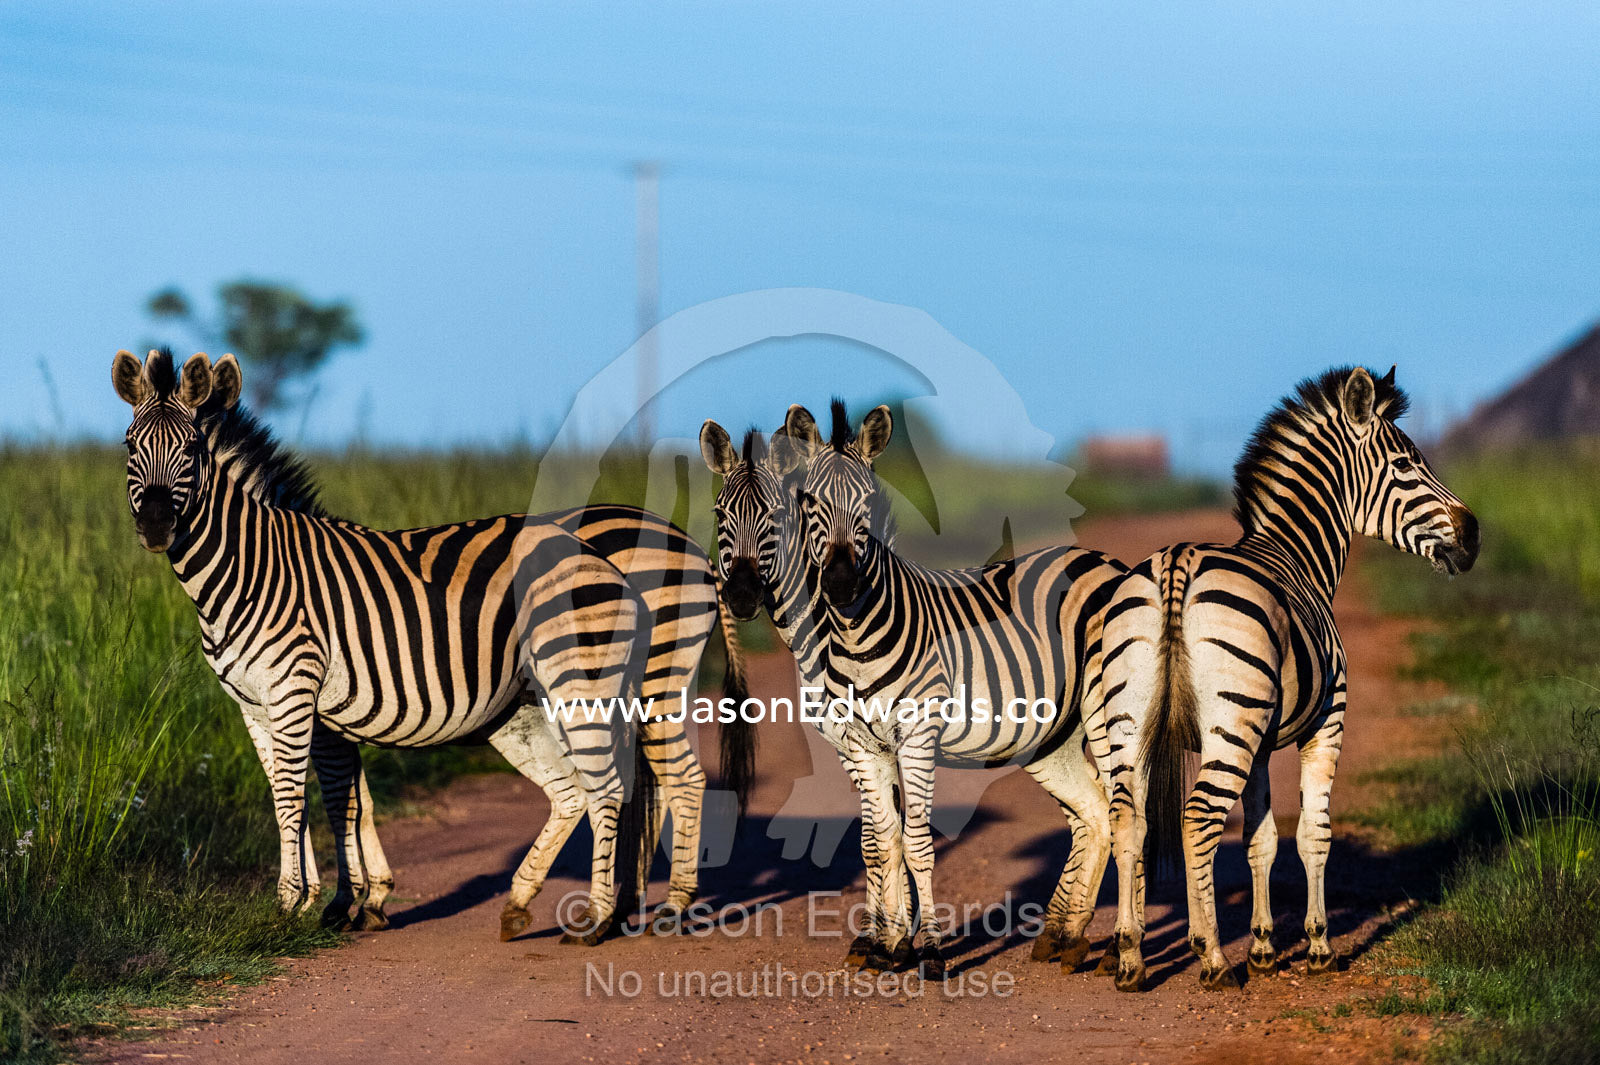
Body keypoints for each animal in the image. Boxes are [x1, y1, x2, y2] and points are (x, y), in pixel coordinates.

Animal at [112, 348, 753, 942]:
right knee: (603, 787)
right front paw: (346, 898)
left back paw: (651, 908)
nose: (156, 528)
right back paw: (584, 904)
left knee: (668, 780)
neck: (252, 568)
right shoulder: (261, 704)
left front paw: (315, 903)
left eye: (192, 452)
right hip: (540, 703)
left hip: (638, 681)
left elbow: (314, 797)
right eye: (128, 447)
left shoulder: (299, 693)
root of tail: (691, 549)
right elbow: (320, 796)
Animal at [763, 401, 1126, 976]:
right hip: (1051, 734)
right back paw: (1064, 940)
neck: (853, 636)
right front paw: (888, 948)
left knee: (1124, 808)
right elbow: (880, 842)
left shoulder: (917, 736)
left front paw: (930, 952)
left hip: (1106, 708)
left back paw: (1117, 951)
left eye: (868, 502)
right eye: (811, 502)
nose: (841, 585)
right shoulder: (865, 745)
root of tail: (1104, 559)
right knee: (1093, 811)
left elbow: (916, 844)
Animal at [1096, 366, 1478, 992]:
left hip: (1134, 723)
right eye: (1406, 465)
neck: (1295, 554)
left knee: (1129, 818)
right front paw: (1317, 945)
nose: (1474, 537)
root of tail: (1176, 563)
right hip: (1229, 729)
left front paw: (1264, 946)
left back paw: (1130, 956)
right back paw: (1212, 958)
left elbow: (1261, 839)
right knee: (1197, 820)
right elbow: (1312, 832)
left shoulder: (1259, 741)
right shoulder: (1327, 721)